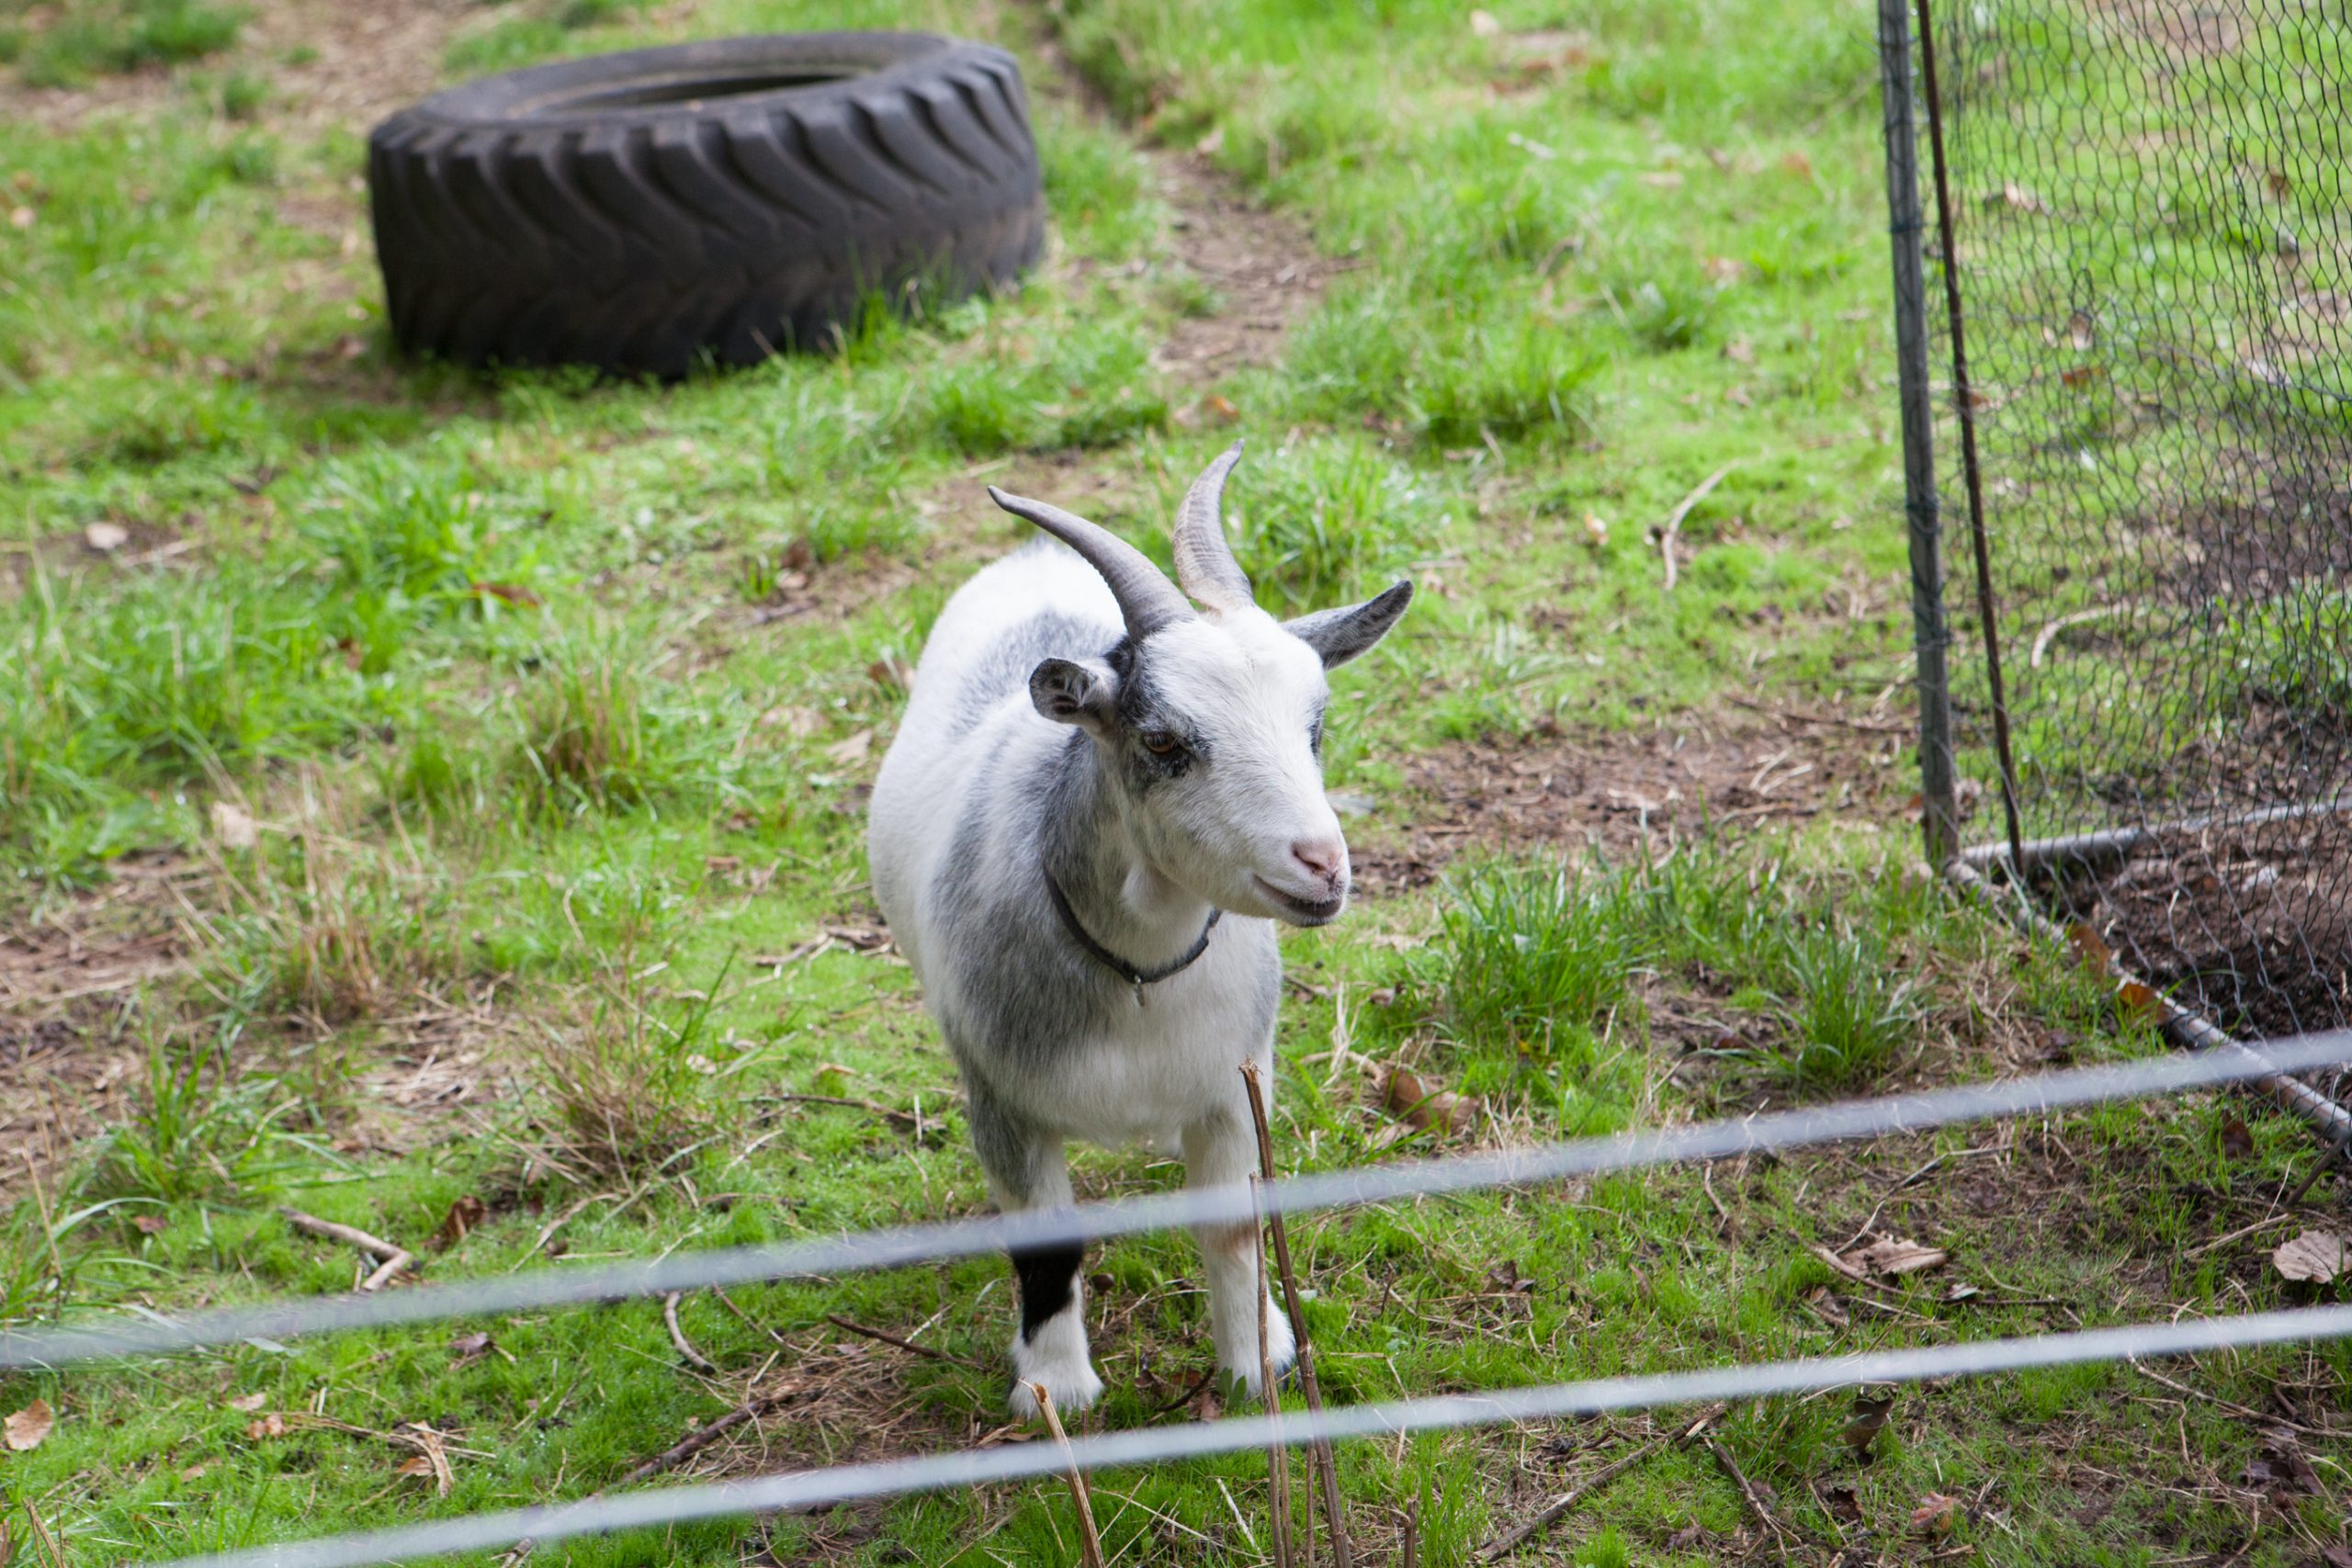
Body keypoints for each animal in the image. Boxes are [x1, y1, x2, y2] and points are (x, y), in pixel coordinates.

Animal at [866, 443, 1412, 1415]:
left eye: (1315, 725)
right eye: (1162, 742)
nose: (1321, 865)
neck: (1139, 976)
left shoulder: (1235, 1085)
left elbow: (1233, 1230)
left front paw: (1254, 1364)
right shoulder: (1001, 1100)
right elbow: (1047, 1245)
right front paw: (1056, 1389)